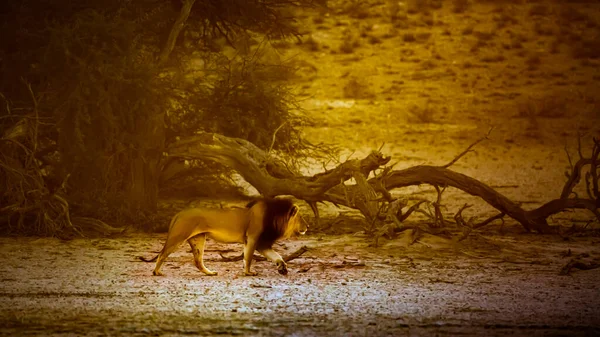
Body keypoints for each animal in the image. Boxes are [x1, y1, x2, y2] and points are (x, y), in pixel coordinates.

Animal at [139, 197, 304, 276]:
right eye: (301, 219)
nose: (307, 227)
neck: (275, 218)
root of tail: (179, 213)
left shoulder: (261, 243)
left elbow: (276, 256)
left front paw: (282, 268)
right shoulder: (252, 238)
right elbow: (249, 257)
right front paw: (248, 273)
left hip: (198, 239)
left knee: (198, 261)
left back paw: (210, 273)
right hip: (178, 236)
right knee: (162, 254)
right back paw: (156, 272)